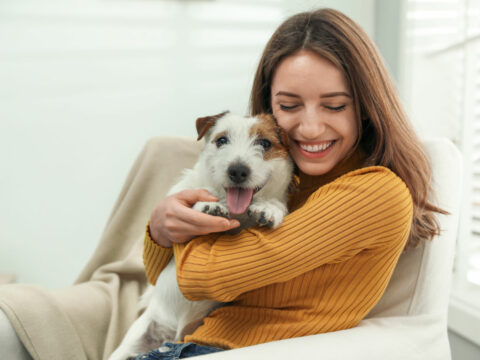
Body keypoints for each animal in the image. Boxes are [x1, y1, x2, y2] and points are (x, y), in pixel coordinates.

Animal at [109, 111, 292, 358]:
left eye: (264, 143)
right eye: (222, 140)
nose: (237, 170)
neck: (237, 213)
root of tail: (170, 336)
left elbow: (275, 205)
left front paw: (269, 208)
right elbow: (198, 193)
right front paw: (209, 204)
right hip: (135, 338)